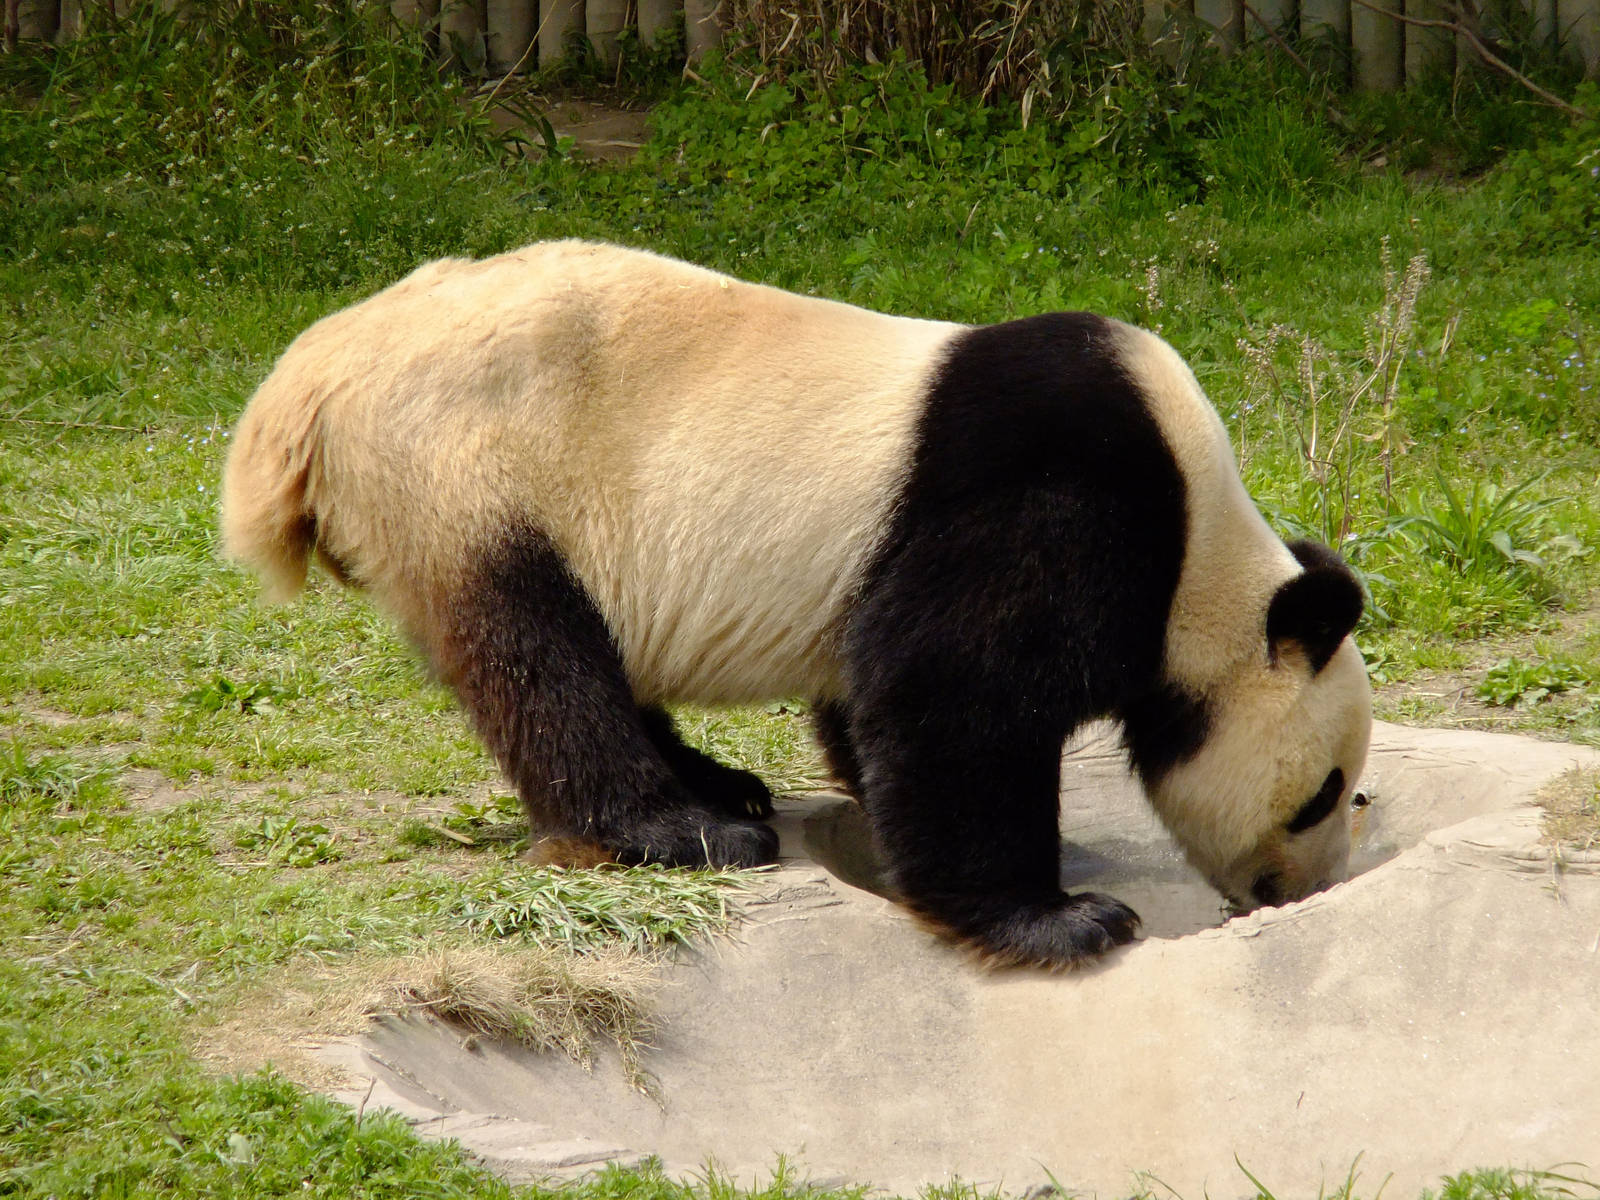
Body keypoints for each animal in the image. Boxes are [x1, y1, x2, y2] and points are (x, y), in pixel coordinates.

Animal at [221, 239, 1372, 969]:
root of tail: (308, 376)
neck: (1201, 550)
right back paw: (684, 830)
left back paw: (722, 789)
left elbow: (875, 696)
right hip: (474, 468)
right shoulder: (1058, 498)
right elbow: (954, 695)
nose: (1296, 890)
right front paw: (1066, 919)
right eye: (1326, 793)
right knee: (542, 659)